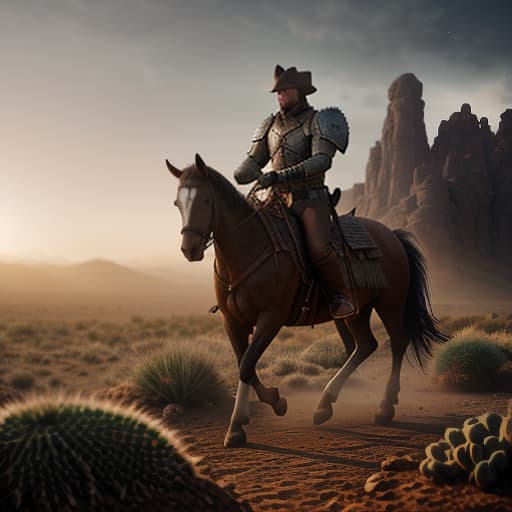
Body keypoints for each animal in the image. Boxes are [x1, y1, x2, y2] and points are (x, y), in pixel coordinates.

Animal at [168, 153, 448, 448]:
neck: (249, 250)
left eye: (205, 201)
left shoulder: (271, 318)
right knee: (365, 345)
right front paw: (274, 401)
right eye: (178, 203)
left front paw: (236, 428)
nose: (190, 249)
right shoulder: (232, 321)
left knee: (397, 343)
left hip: (390, 304)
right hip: (356, 311)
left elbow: (246, 365)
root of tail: (393, 235)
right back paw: (324, 405)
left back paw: (384, 407)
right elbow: (245, 364)